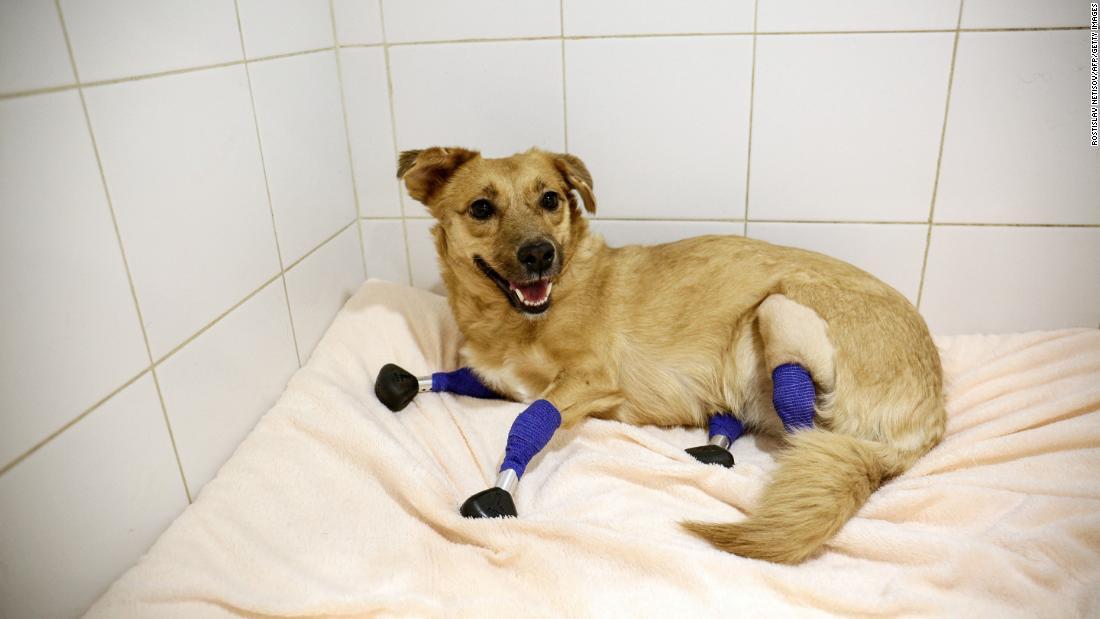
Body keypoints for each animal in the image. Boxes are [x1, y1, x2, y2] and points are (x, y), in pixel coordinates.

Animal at [396, 146, 946, 567]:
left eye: (550, 199)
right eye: (481, 208)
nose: (539, 254)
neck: (519, 320)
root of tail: (932, 420)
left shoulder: (590, 378)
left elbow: (533, 417)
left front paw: (499, 488)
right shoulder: (503, 378)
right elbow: (469, 378)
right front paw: (408, 382)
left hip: (778, 307)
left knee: (802, 427)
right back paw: (715, 441)